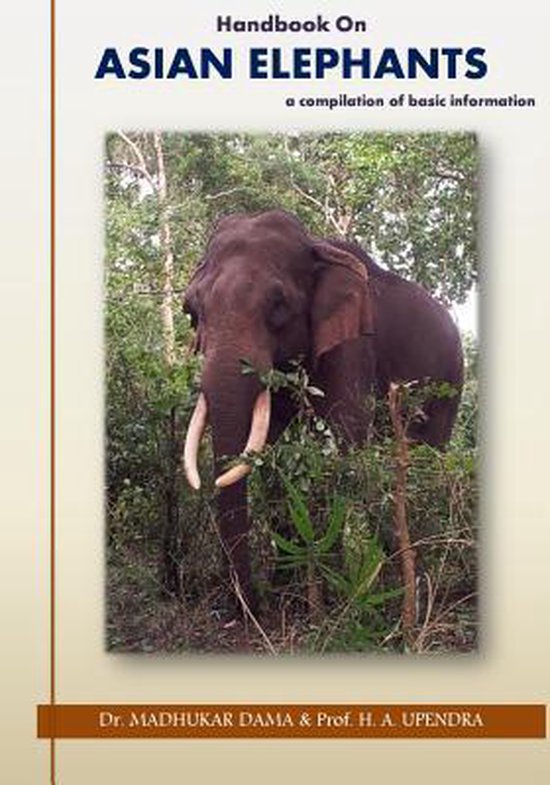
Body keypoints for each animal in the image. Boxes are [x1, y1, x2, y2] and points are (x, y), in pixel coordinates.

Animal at [182, 209, 463, 610]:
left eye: (278, 305)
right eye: (191, 311)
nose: (249, 607)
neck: (315, 246)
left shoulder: (353, 344)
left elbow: (344, 439)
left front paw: (334, 597)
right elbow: (272, 448)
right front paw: (286, 592)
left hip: (449, 382)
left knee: (428, 451)